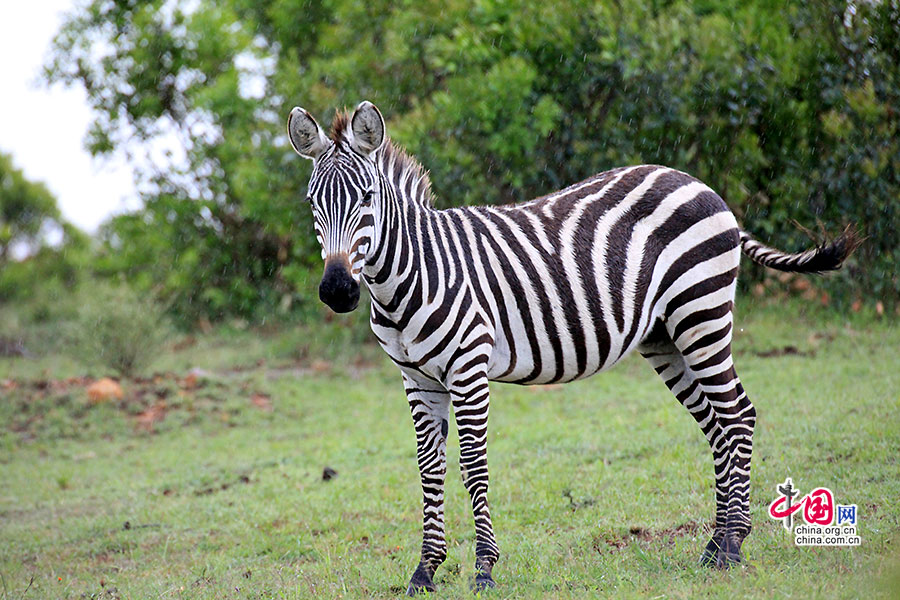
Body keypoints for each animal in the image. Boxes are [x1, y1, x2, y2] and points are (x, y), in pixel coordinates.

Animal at [286, 101, 856, 592]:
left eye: (366, 198)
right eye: (314, 203)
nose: (337, 291)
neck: (409, 277)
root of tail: (697, 181)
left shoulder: (468, 369)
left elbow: (473, 464)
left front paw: (484, 569)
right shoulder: (416, 380)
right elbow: (430, 470)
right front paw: (424, 571)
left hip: (701, 314)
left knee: (737, 415)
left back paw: (735, 545)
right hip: (665, 336)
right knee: (717, 424)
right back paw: (715, 545)